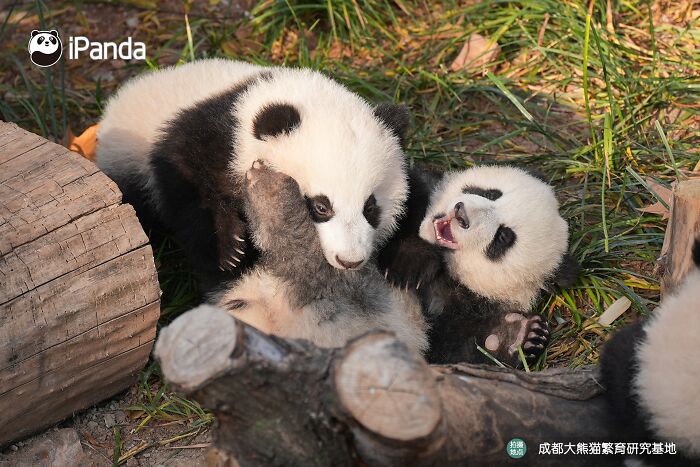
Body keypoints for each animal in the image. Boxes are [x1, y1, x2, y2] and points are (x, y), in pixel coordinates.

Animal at [96, 59, 410, 291]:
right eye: (321, 206)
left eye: (370, 208)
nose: (349, 260)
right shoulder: (203, 140)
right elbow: (190, 193)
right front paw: (230, 252)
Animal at [379, 165, 579, 366]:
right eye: (491, 194)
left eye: (502, 236)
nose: (461, 214)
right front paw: (408, 262)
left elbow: (453, 346)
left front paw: (514, 335)